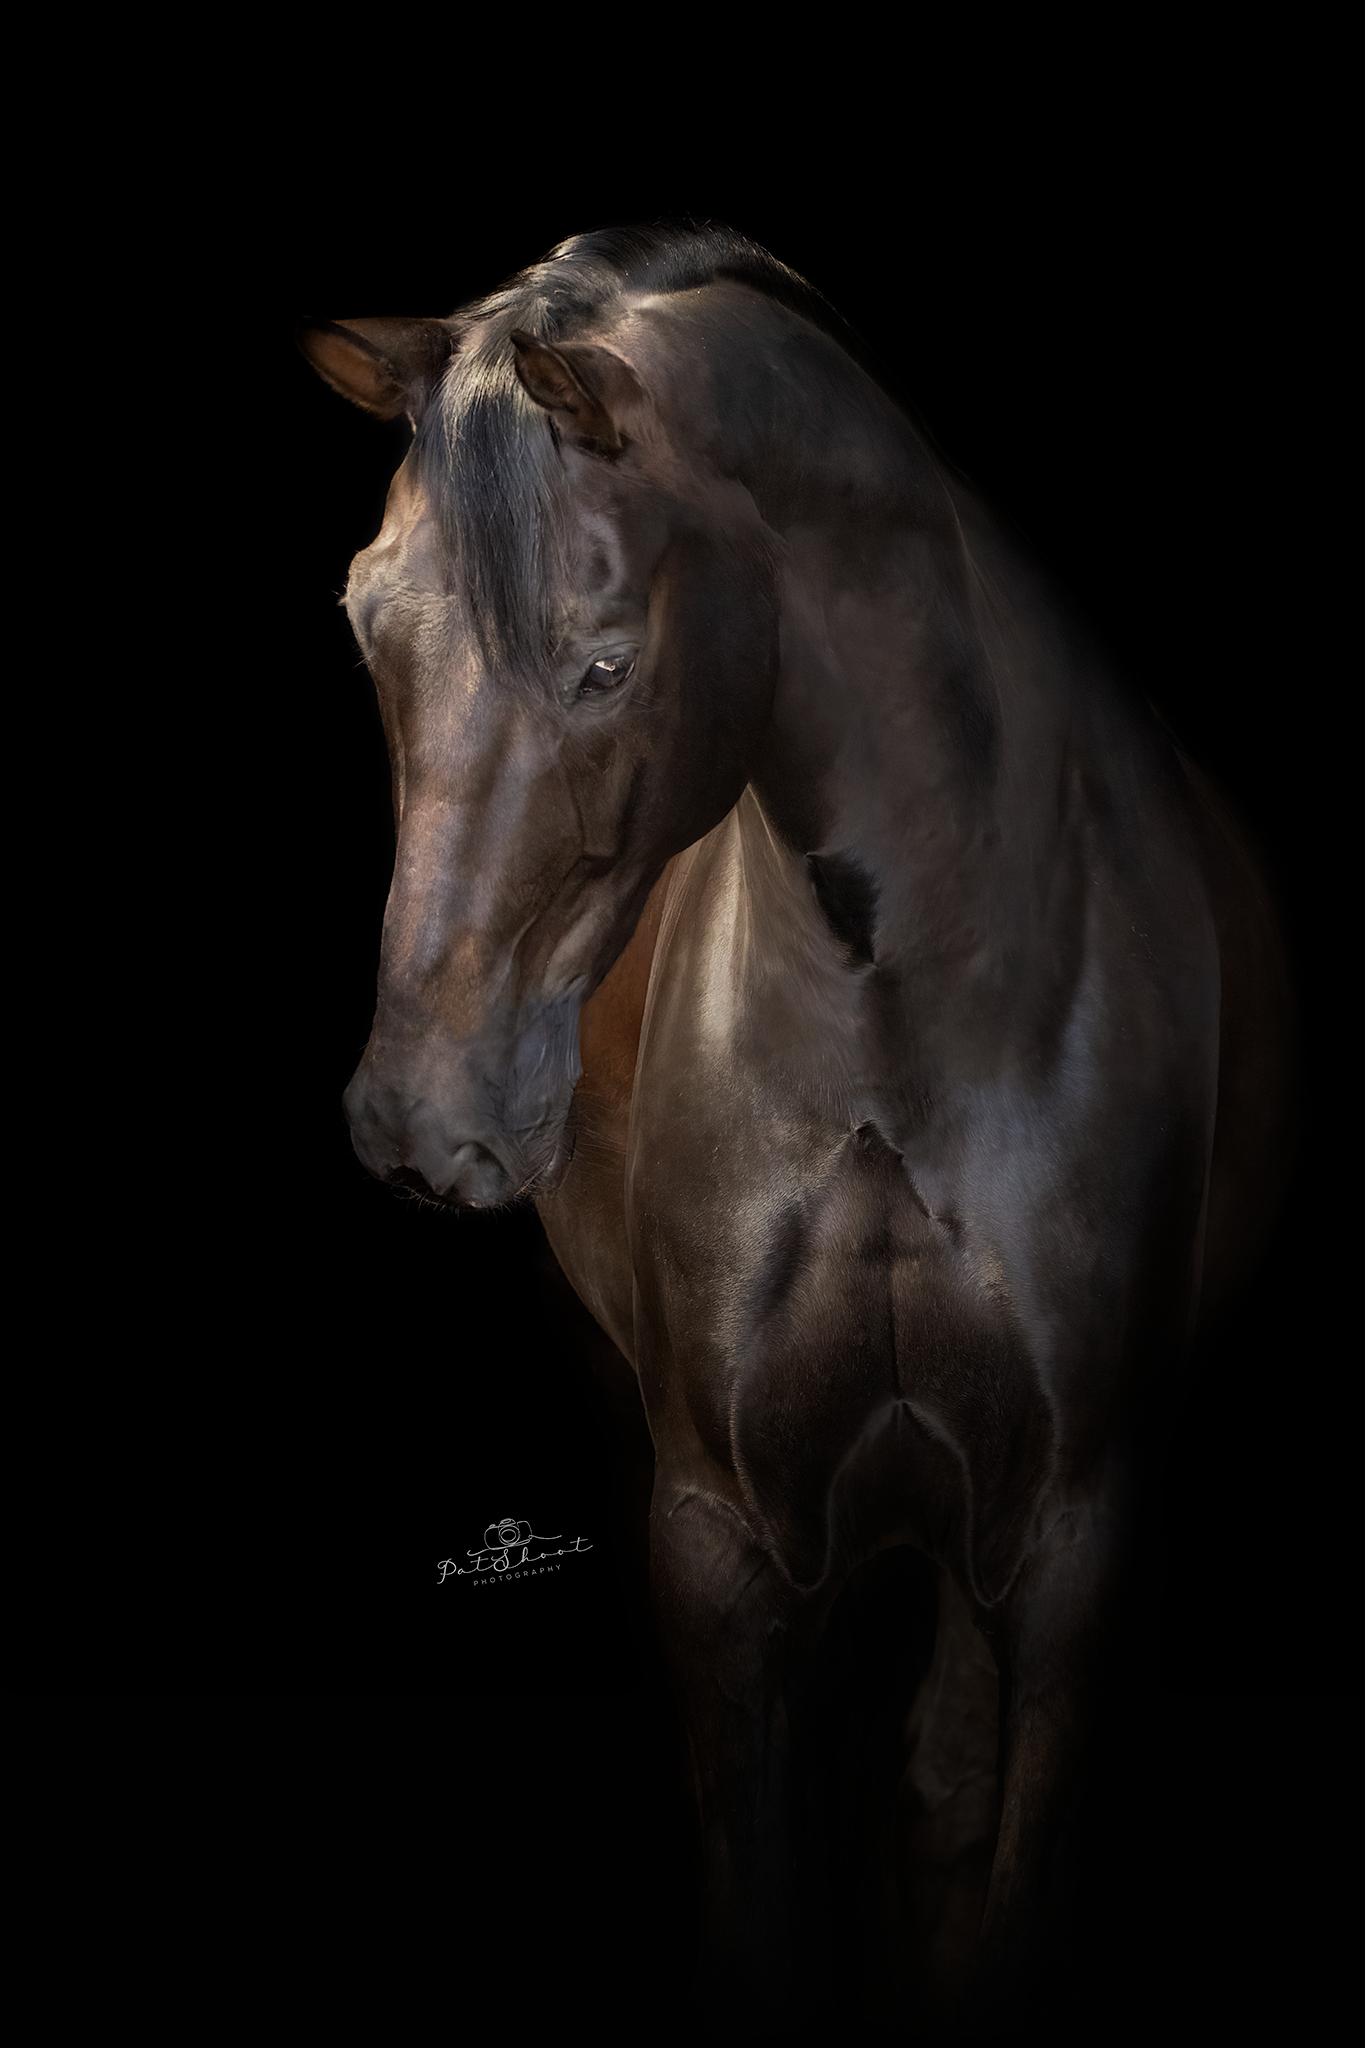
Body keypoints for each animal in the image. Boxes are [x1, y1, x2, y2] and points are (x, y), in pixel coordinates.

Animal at [297, 225, 1294, 2035]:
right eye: (365, 628)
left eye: (604, 660)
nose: (421, 1118)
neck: (905, 1022)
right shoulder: (723, 1539)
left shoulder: (1077, 1541)